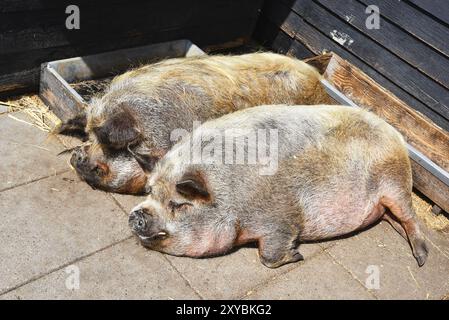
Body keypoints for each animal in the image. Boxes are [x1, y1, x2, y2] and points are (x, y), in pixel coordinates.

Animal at [129, 104, 428, 268]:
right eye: (149, 192)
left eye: (178, 205)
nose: (137, 215)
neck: (231, 196)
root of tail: (395, 134)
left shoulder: (281, 218)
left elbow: (269, 255)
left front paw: (297, 256)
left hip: (395, 184)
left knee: (411, 217)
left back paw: (421, 258)